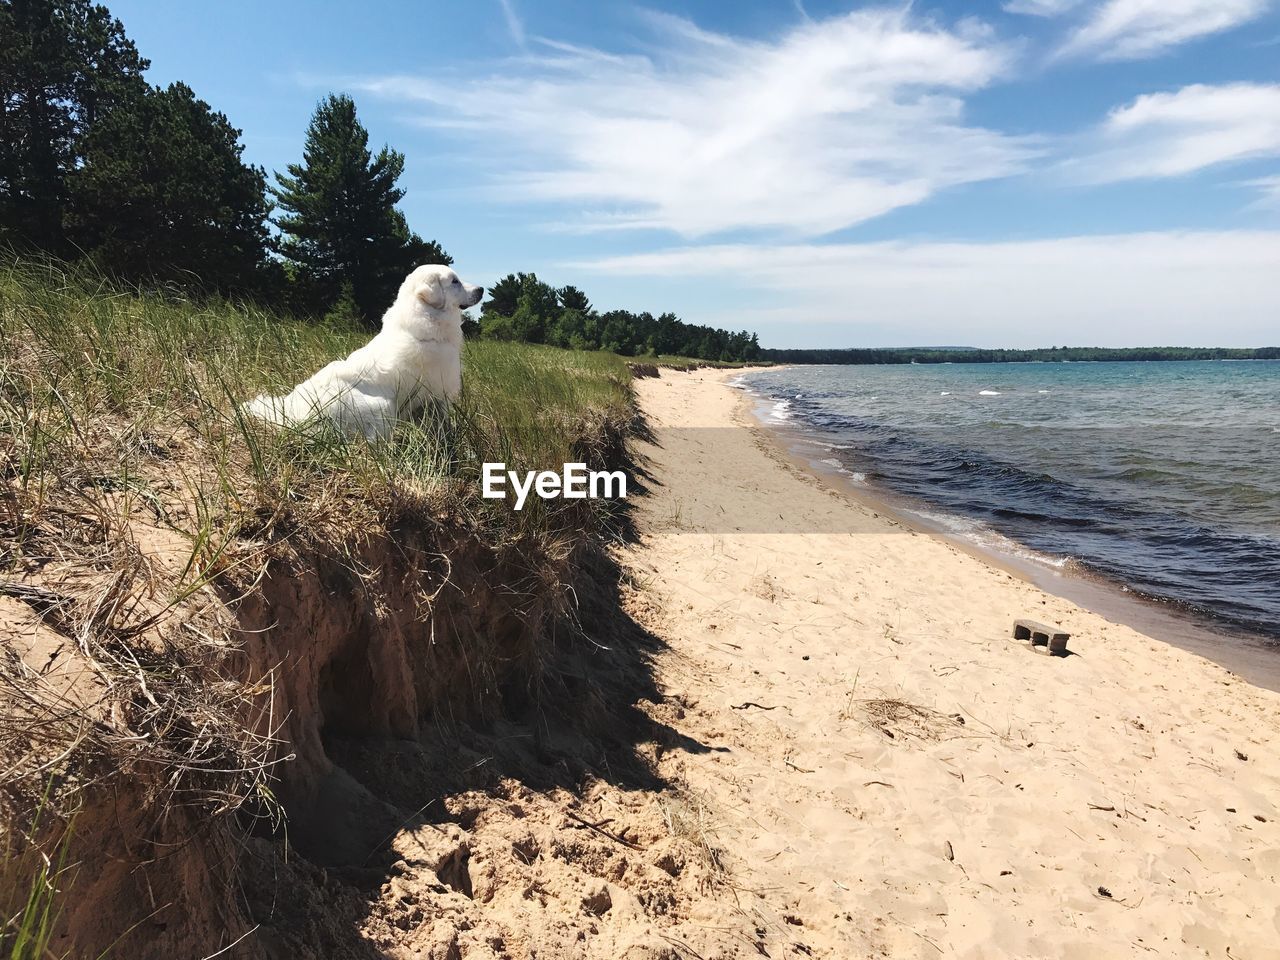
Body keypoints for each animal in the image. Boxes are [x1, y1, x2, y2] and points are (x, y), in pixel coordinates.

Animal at [245, 267, 483, 440]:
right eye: (454, 281)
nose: (481, 289)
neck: (424, 321)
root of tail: (292, 416)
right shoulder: (439, 395)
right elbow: (443, 425)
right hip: (382, 408)